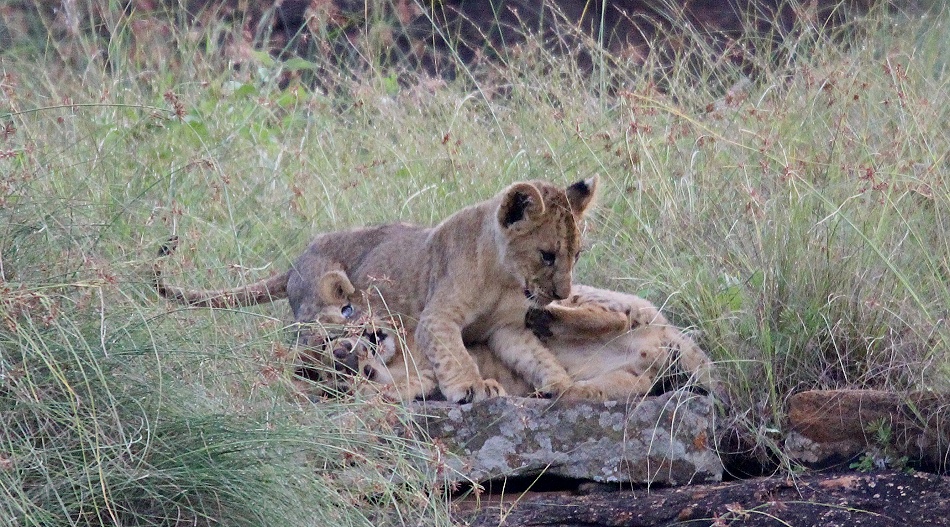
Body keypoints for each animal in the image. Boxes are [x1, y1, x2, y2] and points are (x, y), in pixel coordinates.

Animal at [154, 178, 599, 403]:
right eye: (547, 255)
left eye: (576, 254)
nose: (562, 294)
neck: (505, 278)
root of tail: (298, 259)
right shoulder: (437, 316)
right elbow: (452, 354)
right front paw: (472, 387)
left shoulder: (505, 328)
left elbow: (535, 356)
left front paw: (565, 386)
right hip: (318, 309)